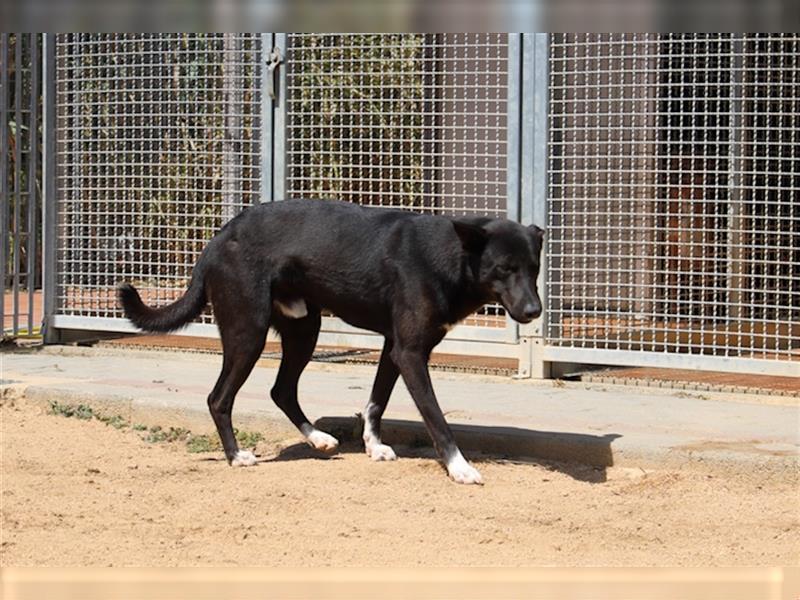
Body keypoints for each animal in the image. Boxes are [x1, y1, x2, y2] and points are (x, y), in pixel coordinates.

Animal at [119, 199, 544, 486]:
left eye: (534, 268)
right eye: (504, 268)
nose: (535, 310)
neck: (452, 255)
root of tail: (218, 238)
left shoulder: (394, 348)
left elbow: (376, 401)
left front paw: (373, 445)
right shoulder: (411, 353)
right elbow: (436, 418)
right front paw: (460, 467)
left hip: (304, 329)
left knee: (281, 390)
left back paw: (318, 438)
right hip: (248, 332)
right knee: (218, 397)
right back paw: (237, 455)